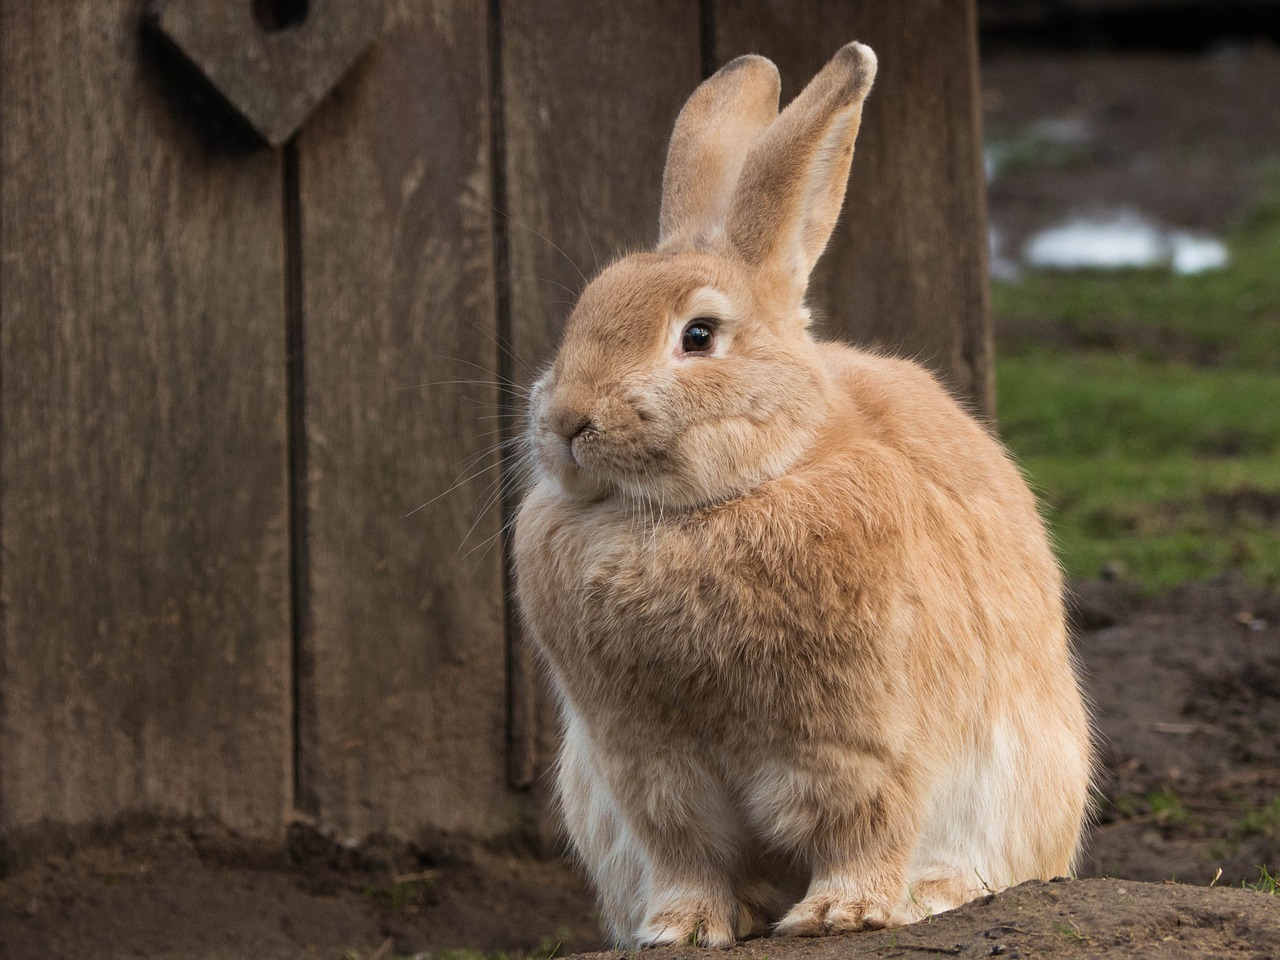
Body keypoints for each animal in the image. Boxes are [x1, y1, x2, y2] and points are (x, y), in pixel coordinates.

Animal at [509, 41, 1090, 952]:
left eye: (699, 335)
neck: (707, 508)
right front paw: (678, 928)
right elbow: (687, 854)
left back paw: (934, 891)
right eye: (584, 314)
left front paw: (839, 915)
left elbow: (861, 828)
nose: (568, 418)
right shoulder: (647, 767)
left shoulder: (857, 744)